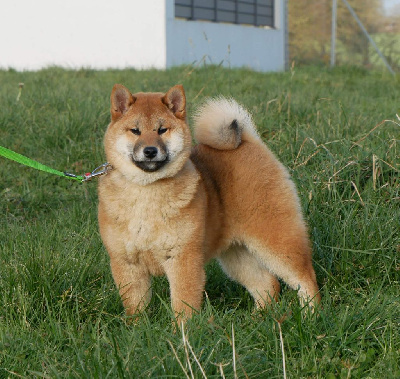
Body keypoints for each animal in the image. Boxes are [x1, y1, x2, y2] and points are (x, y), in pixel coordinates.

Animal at [98, 84, 320, 322]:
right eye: (135, 131)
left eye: (162, 130)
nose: (150, 150)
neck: (146, 190)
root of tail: (248, 142)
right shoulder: (126, 263)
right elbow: (135, 305)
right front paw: (137, 327)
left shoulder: (183, 258)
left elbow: (183, 304)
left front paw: (182, 330)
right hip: (237, 254)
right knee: (267, 283)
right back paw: (258, 317)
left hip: (276, 239)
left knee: (305, 278)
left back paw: (312, 315)